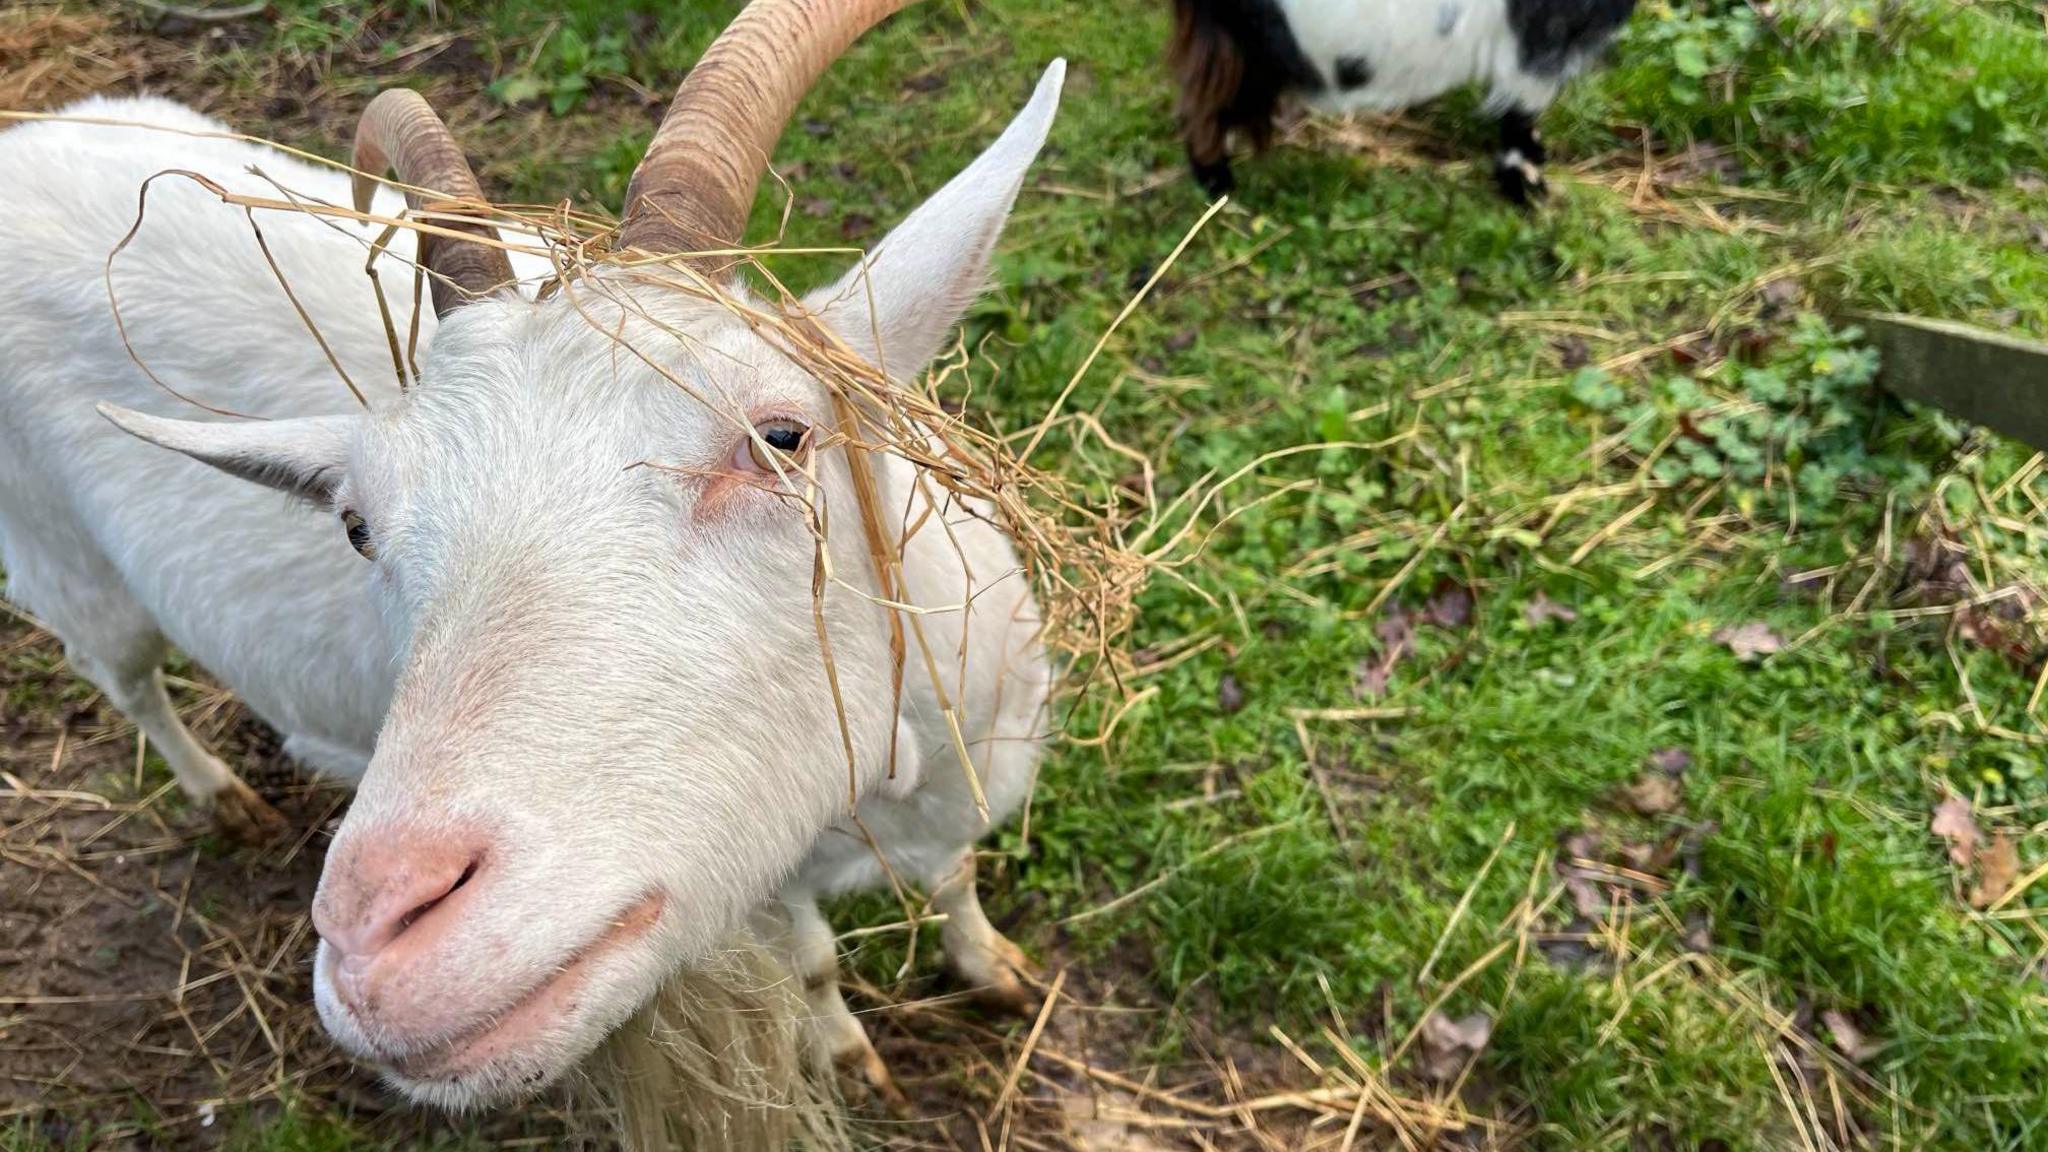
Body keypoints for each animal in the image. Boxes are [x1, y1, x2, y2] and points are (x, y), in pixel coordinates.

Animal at [0, 0, 1056, 1115]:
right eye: (358, 525)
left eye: (780, 436)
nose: (379, 940)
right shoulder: (753, 895)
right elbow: (814, 966)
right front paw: (849, 1055)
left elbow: (958, 876)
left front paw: (994, 970)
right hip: (65, 559)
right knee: (119, 674)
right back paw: (220, 795)